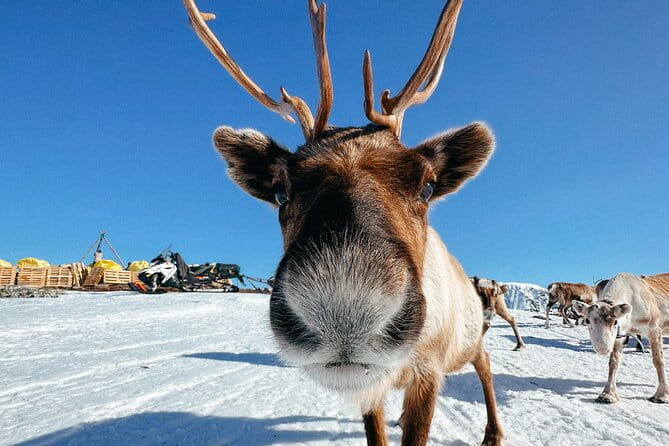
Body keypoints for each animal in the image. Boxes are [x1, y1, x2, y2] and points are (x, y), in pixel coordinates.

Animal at [183, 0, 503, 444]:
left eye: (428, 186)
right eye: (280, 191)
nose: (345, 305)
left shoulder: (429, 372)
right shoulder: (371, 388)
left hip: (468, 340)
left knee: (485, 363)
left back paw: (493, 432)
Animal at [572, 273, 669, 404]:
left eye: (615, 322)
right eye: (587, 320)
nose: (603, 349)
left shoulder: (654, 329)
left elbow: (658, 361)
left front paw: (661, 395)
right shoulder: (619, 336)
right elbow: (613, 363)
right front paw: (607, 395)